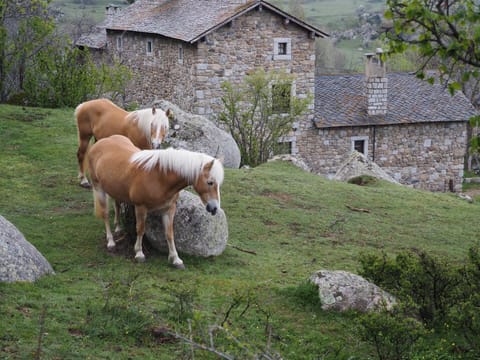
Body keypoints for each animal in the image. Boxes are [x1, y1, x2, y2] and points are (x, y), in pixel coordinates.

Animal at [86, 134, 225, 268]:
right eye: (210, 182)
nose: (214, 208)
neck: (159, 176)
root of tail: (100, 142)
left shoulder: (169, 209)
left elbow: (169, 234)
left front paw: (176, 259)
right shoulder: (141, 207)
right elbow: (140, 229)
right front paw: (139, 253)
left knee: (117, 205)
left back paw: (118, 228)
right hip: (99, 189)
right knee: (105, 214)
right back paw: (110, 242)